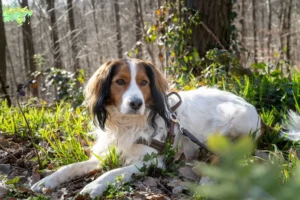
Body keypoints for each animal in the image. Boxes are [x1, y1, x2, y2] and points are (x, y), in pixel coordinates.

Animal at [30, 58, 300, 198]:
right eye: (120, 81)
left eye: (143, 82)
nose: (136, 103)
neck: (128, 124)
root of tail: (259, 116)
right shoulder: (106, 153)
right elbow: (70, 167)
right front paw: (47, 181)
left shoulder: (151, 160)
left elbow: (114, 172)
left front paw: (94, 186)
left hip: (224, 125)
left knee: (223, 159)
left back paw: (206, 182)